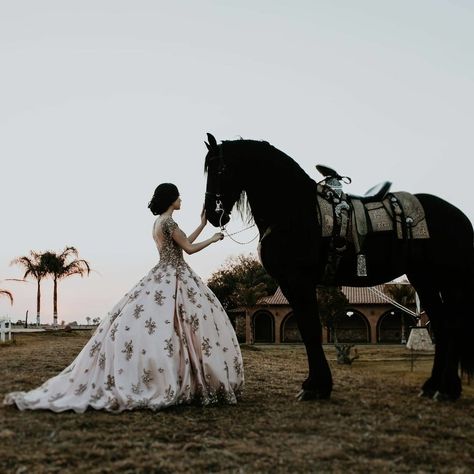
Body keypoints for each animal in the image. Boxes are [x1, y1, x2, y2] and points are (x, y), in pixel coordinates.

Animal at [204, 132, 474, 400]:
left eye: (220, 169)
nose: (212, 214)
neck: (296, 212)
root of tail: (458, 215)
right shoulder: (290, 284)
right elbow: (307, 328)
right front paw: (317, 384)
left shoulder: (298, 280)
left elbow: (311, 329)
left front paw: (315, 387)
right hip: (424, 279)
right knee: (441, 325)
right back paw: (433, 386)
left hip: (448, 281)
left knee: (452, 326)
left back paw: (447, 389)